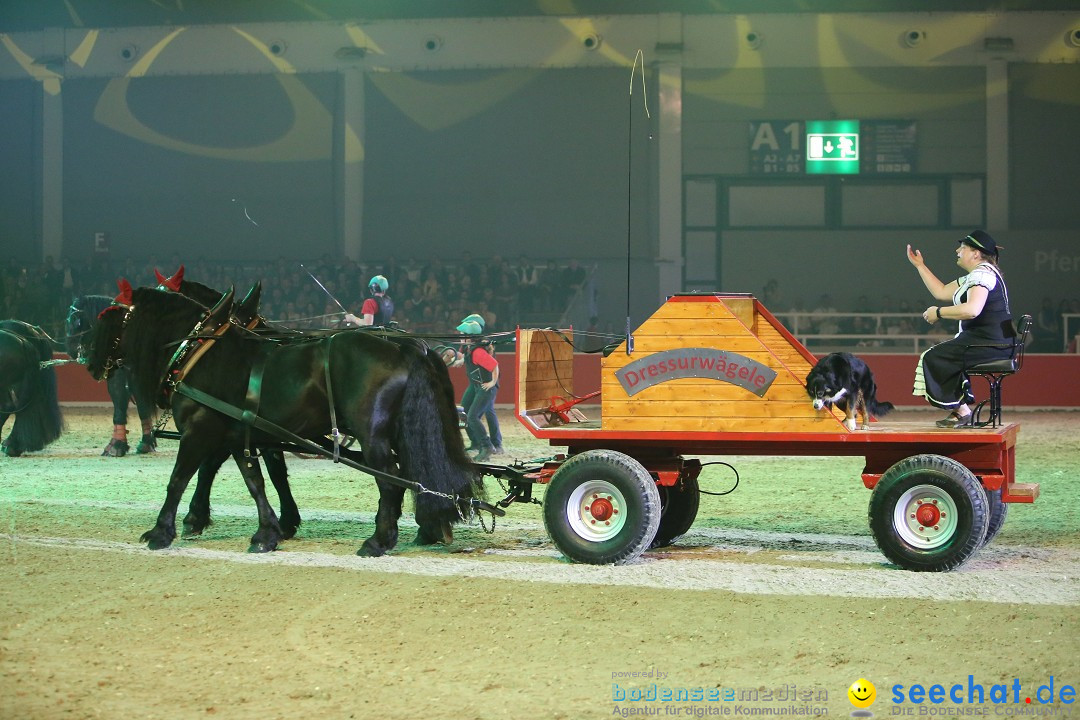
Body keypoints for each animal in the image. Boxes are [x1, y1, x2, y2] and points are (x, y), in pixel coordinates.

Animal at [64, 293, 156, 455]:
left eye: (75, 321)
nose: (70, 349)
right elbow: (140, 406)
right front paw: (145, 441)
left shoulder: (122, 376)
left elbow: (120, 402)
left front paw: (116, 444)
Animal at [84, 284, 473, 557]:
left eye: (109, 316)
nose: (89, 363)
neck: (203, 351)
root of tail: (405, 347)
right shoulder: (242, 434)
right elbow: (257, 480)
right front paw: (269, 530)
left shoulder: (199, 431)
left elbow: (179, 479)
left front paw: (162, 532)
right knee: (414, 475)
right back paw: (428, 527)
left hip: (373, 436)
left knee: (391, 481)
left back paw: (379, 541)